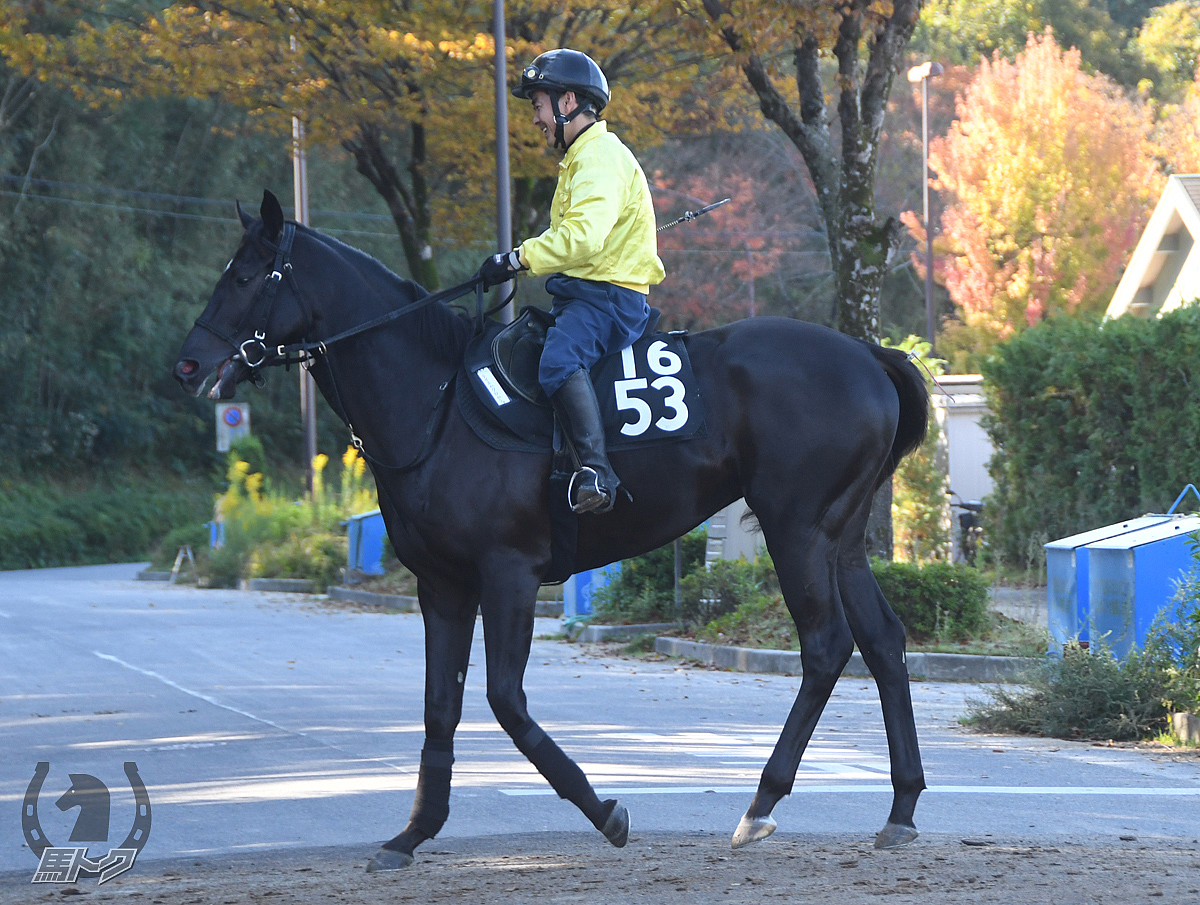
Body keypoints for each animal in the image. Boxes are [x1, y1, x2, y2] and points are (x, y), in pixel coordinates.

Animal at [174, 188, 931, 868]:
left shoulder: (507, 574)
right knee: (884, 641)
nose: (188, 363)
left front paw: (605, 811)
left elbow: (505, 700)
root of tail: (868, 354)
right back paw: (900, 807)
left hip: (795, 529)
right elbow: (439, 706)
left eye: (244, 275)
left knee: (826, 647)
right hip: (840, 539)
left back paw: (762, 802)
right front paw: (413, 832)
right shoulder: (442, 585)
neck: (437, 401)